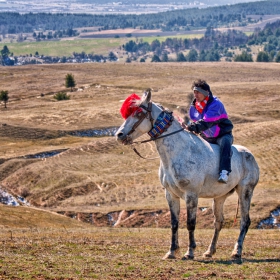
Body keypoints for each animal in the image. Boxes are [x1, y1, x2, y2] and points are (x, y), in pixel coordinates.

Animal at [115, 90, 260, 260]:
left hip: (245, 191)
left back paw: (236, 251)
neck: (178, 152)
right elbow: (174, 223)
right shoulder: (171, 195)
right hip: (219, 197)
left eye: (138, 113)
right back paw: (209, 251)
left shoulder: (191, 195)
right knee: (218, 222)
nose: (119, 135)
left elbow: (190, 223)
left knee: (245, 221)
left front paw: (189, 252)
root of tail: (250, 155)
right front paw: (171, 252)